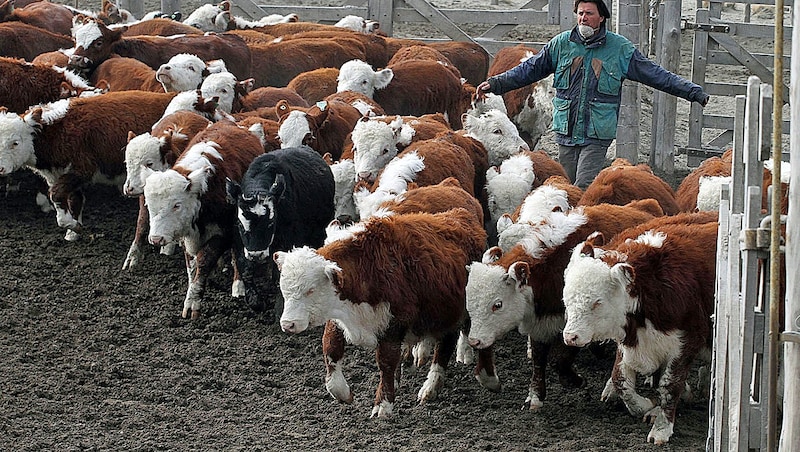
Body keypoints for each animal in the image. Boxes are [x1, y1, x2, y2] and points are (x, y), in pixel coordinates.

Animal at [0, 91, 176, 240]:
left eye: (15, 143)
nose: (0, 168)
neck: (59, 131)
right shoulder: (63, 174)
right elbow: (74, 200)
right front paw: (72, 232)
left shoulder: (82, 169)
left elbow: (56, 194)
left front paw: (71, 225)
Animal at [145, 120, 264, 318]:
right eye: (149, 205)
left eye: (176, 205)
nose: (156, 239)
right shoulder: (187, 234)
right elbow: (192, 265)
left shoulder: (224, 232)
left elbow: (204, 260)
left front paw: (192, 302)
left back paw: (238, 286)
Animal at [225, 147, 334, 312]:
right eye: (240, 224)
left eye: (271, 223)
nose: (256, 255)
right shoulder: (240, 244)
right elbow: (246, 270)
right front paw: (255, 301)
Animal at [276, 207, 488, 416]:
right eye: (283, 287)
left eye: (310, 290)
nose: (288, 324)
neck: (366, 268)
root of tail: (460, 214)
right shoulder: (338, 317)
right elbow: (330, 348)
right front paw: (343, 392)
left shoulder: (394, 324)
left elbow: (386, 362)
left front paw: (383, 405)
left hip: (451, 313)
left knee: (446, 346)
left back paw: (433, 385)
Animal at [564, 212, 720, 444]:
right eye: (566, 297)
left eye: (597, 302)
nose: (570, 336)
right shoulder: (631, 338)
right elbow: (621, 379)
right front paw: (646, 405)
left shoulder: (686, 341)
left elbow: (669, 385)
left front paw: (661, 429)